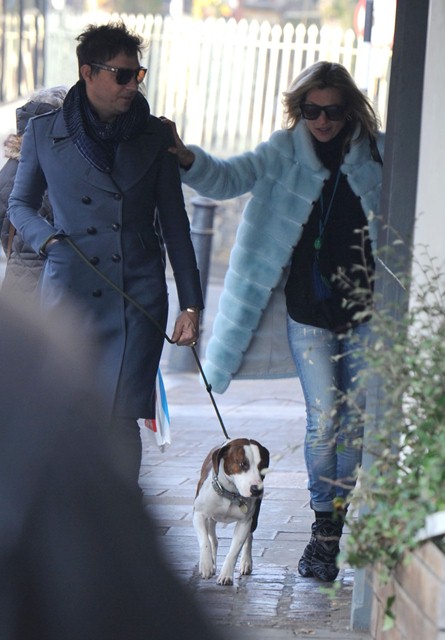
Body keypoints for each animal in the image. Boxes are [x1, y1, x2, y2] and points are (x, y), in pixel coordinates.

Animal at [193, 438, 270, 585]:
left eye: (263, 466)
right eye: (242, 464)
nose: (257, 490)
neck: (230, 494)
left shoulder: (245, 522)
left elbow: (234, 551)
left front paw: (226, 574)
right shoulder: (199, 514)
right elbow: (204, 541)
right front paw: (206, 565)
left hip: (254, 519)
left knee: (249, 537)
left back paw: (246, 562)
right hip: (211, 519)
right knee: (213, 539)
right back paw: (212, 561)